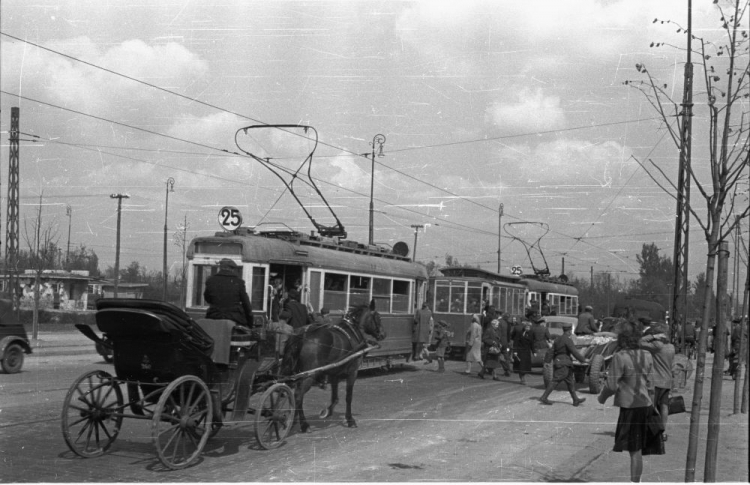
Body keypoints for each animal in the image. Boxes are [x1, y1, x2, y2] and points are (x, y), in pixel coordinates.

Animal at [280, 298, 388, 432]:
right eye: (378, 317)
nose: (383, 334)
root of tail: (303, 334)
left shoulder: (334, 372)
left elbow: (335, 397)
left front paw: (327, 411)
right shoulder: (352, 372)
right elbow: (348, 396)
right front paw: (350, 419)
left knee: (293, 395)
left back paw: (293, 420)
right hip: (309, 375)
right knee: (298, 395)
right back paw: (304, 424)